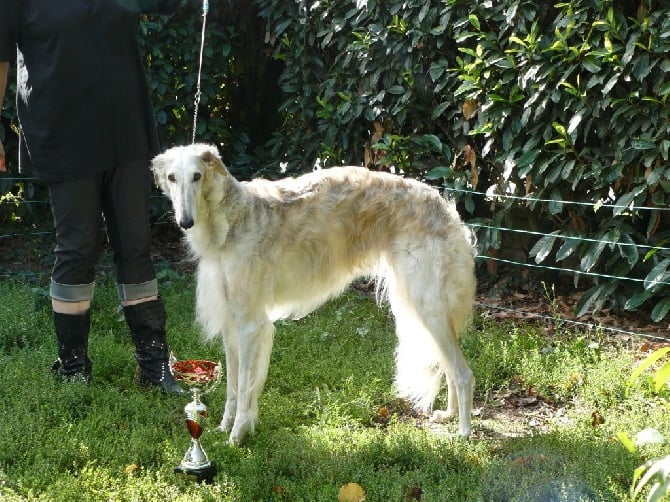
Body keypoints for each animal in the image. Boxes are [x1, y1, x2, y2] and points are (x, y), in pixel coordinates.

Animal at [152, 143, 478, 446]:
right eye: (171, 177)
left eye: (197, 176)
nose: (185, 221)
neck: (231, 220)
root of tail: (446, 208)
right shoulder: (232, 324)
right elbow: (232, 385)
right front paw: (223, 428)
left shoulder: (250, 324)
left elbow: (245, 387)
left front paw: (237, 436)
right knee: (450, 367)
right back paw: (448, 415)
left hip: (427, 304)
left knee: (463, 373)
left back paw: (463, 432)